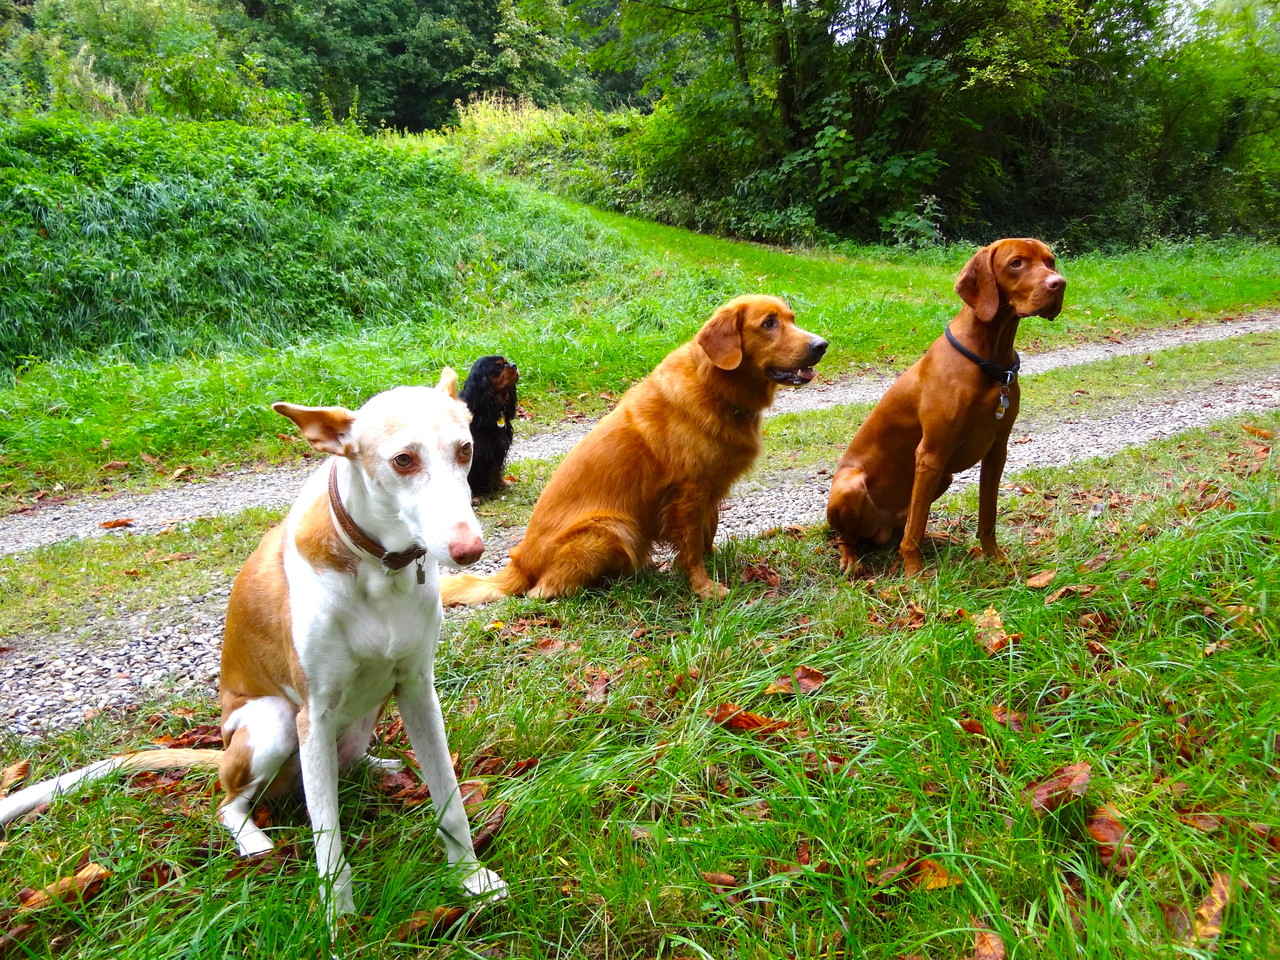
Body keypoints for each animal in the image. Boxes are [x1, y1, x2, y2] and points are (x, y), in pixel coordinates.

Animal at [0, 371, 506, 926]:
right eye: (403, 461)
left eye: (465, 449)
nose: (469, 550)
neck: (379, 565)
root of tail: (222, 752)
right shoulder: (313, 713)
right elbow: (328, 839)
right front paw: (339, 920)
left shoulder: (417, 690)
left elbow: (450, 801)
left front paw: (472, 879)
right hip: (274, 723)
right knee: (232, 802)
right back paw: (254, 840)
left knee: (335, 766)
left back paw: (377, 767)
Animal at [460, 358, 519, 499]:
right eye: (497, 367)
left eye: (506, 362)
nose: (514, 365)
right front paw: (473, 497)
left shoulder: (497, 449)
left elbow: (495, 470)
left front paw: (500, 485)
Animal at [824, 236, 1064, 576]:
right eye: (1016, 263)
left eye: (1050, 261)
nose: (1059, 283)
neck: (990, 360)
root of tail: (878, 531)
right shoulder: (931, 454)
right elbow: (914, 529)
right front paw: (914, 574)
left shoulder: (997, 450)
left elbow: (987, 515)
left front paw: (995, 558)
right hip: (851, 487)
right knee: (850, 535)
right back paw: (851, 557)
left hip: (944, 478)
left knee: (906, 524)